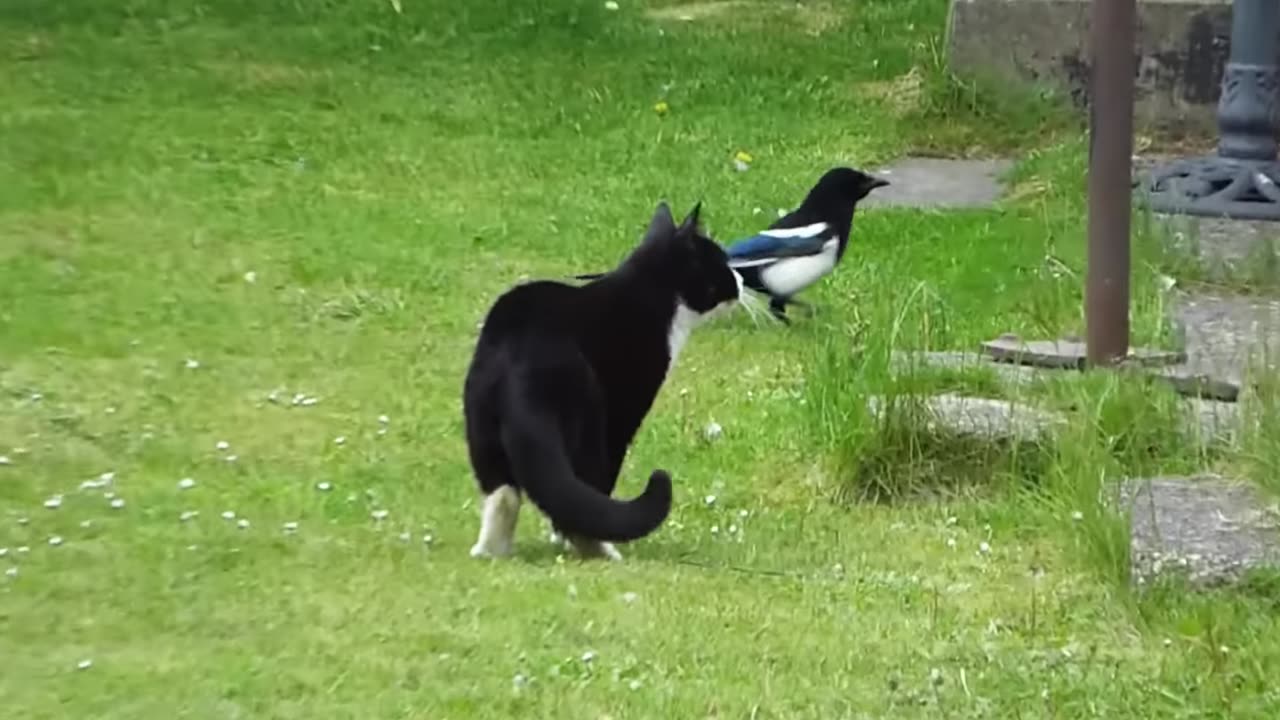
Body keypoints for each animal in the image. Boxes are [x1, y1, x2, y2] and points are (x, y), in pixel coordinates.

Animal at [460, 198, 742, 558]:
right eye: (721, 262)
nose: (740, 280)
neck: (653, 293)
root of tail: (519, 360)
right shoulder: (624, 411)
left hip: (481, 425)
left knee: (503, 493)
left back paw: (491, 552)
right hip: (590, 420)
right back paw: (601, 551)